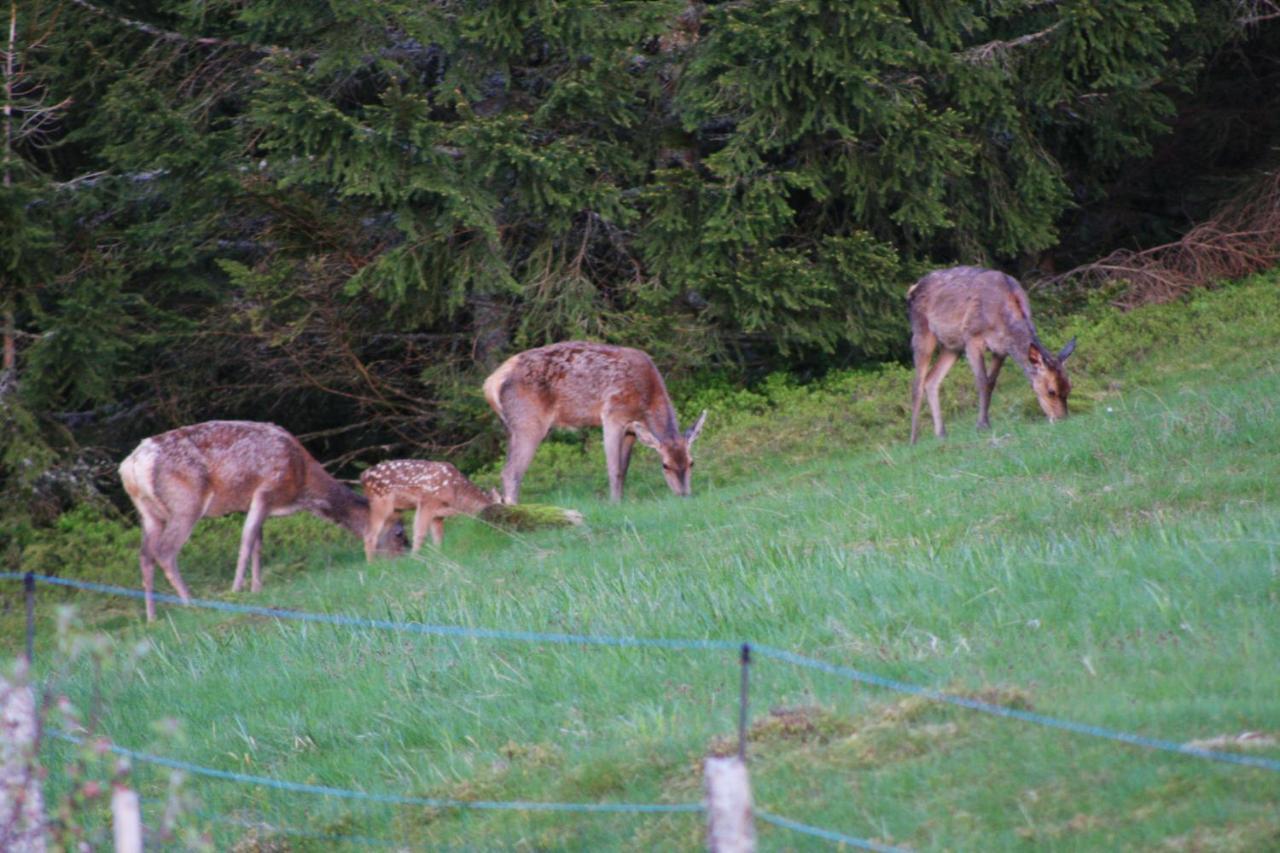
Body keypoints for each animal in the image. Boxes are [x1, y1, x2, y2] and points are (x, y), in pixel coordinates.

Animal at [119, 417, 404, 617]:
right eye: (399, 532)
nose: (401, 560)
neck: (301, 484)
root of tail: (130, 466)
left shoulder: (253, 502)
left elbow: (258, 542)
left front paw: (256, 587)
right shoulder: (266, 489)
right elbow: (247, 540)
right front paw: (237, 589)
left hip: (149, 513)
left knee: (145, 555)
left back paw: (152, 616)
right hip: (185, 502)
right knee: (165, 551)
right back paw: (190, 602)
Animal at [363, 458, 501, 558]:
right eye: (493, 515)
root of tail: (363, 476)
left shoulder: (438, 514)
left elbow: (438, 537)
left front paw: (438, 556)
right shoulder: (426, 502)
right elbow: (420, 534)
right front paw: (415, 558)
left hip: (396, 510)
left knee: (381, 537)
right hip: (380, 502)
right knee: (369, 535)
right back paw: (372, 565)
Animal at [483, 338, 716, 502]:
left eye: (691, 462)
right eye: (665, 465)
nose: (684, 495)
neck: (645, 400)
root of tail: (490, 383)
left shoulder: (631, 430)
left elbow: (625, 468)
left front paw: (621, 499)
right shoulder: (612, 415)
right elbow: (614, 468)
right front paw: (614, 503)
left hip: (512, 427)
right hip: (529, 422)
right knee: (511, 472)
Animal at [906, 263, 1075, 445]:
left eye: (1069, 387)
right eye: (1051, 391)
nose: (1062, 419)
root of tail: (912, 288)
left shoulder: (1001, 350)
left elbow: (991, 382)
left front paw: (984, 422)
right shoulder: (972, 337)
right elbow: (982, 381)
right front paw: (982, 425)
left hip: (952, 346)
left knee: (931, 380)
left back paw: (941, 433)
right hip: (922, 331)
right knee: (917, 384)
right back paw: (913, 439)